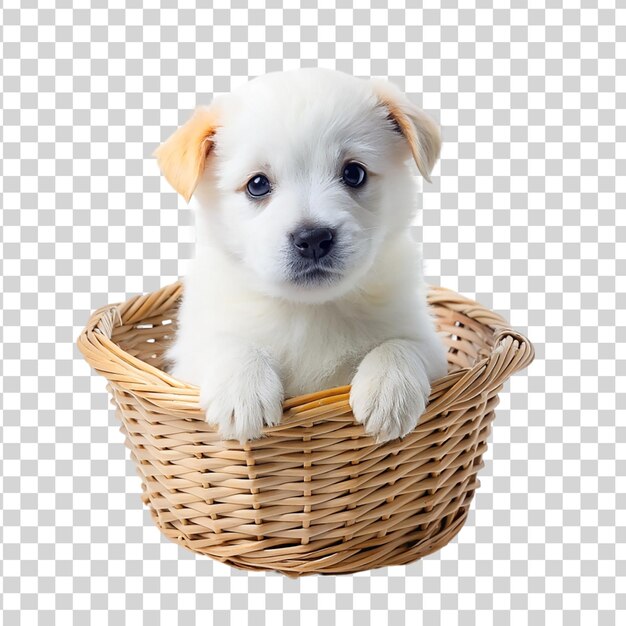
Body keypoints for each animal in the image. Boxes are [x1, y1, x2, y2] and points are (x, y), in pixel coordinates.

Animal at [156, 67, 448, 438]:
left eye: (354, 173)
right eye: (257, 184)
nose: (313, 239)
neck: (310, 310)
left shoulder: (430, 343)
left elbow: (401, 344)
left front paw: (388, 391)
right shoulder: (189, 354)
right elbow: (227, 343)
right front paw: (243, 389)